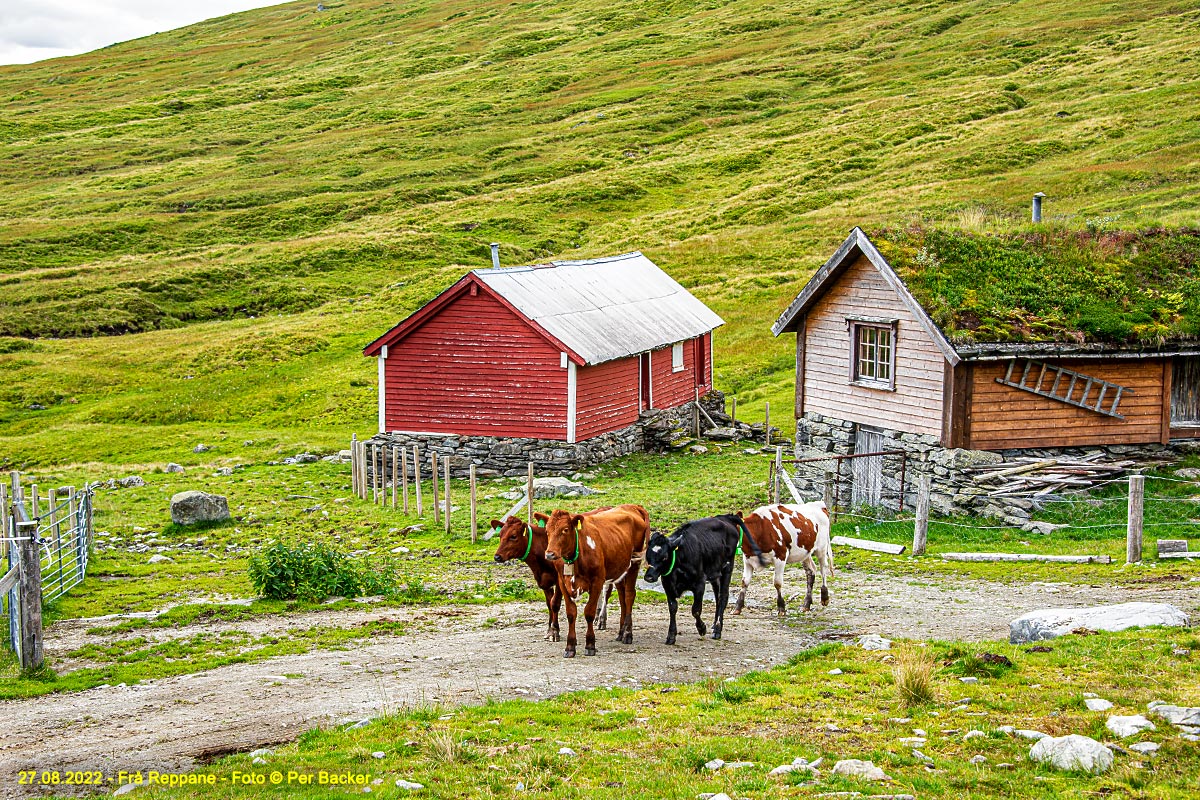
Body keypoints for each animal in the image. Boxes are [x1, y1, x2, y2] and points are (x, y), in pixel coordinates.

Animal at [492, 513, 614, 642]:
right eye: (500, 534)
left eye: (513, 536)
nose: (497, 557)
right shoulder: (545, 582)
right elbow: (549, 604)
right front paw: (550, 630)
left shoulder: (559, 580)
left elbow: (555, 604)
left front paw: (555, 631)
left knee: (606, 591)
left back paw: (602, 619)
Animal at [547, 503, 652, 662]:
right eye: (547, 530)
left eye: (565, 529)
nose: (549, 554)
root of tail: (632, 506)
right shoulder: (562, 582)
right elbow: (571, 613)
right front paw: (570, 647)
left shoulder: (597, 581)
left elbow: (589, 612)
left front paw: (590, 645)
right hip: (619, 567)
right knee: (622, 596)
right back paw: (621, 632)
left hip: (634, 562)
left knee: (629, 595)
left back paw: (627, 633)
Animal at [648, 515, 768, 647]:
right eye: (648, 555)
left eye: (664, 557)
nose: (649, 576)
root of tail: (726, 517)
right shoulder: (668, 585)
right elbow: (673, 608)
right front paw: (671, 636)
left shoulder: (699, 584)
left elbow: (695, 610)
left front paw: (702, 628)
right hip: (714, 573)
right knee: (717, 597)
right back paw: (714, 625)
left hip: (727, 567)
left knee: (723, 596)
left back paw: (717, 630)